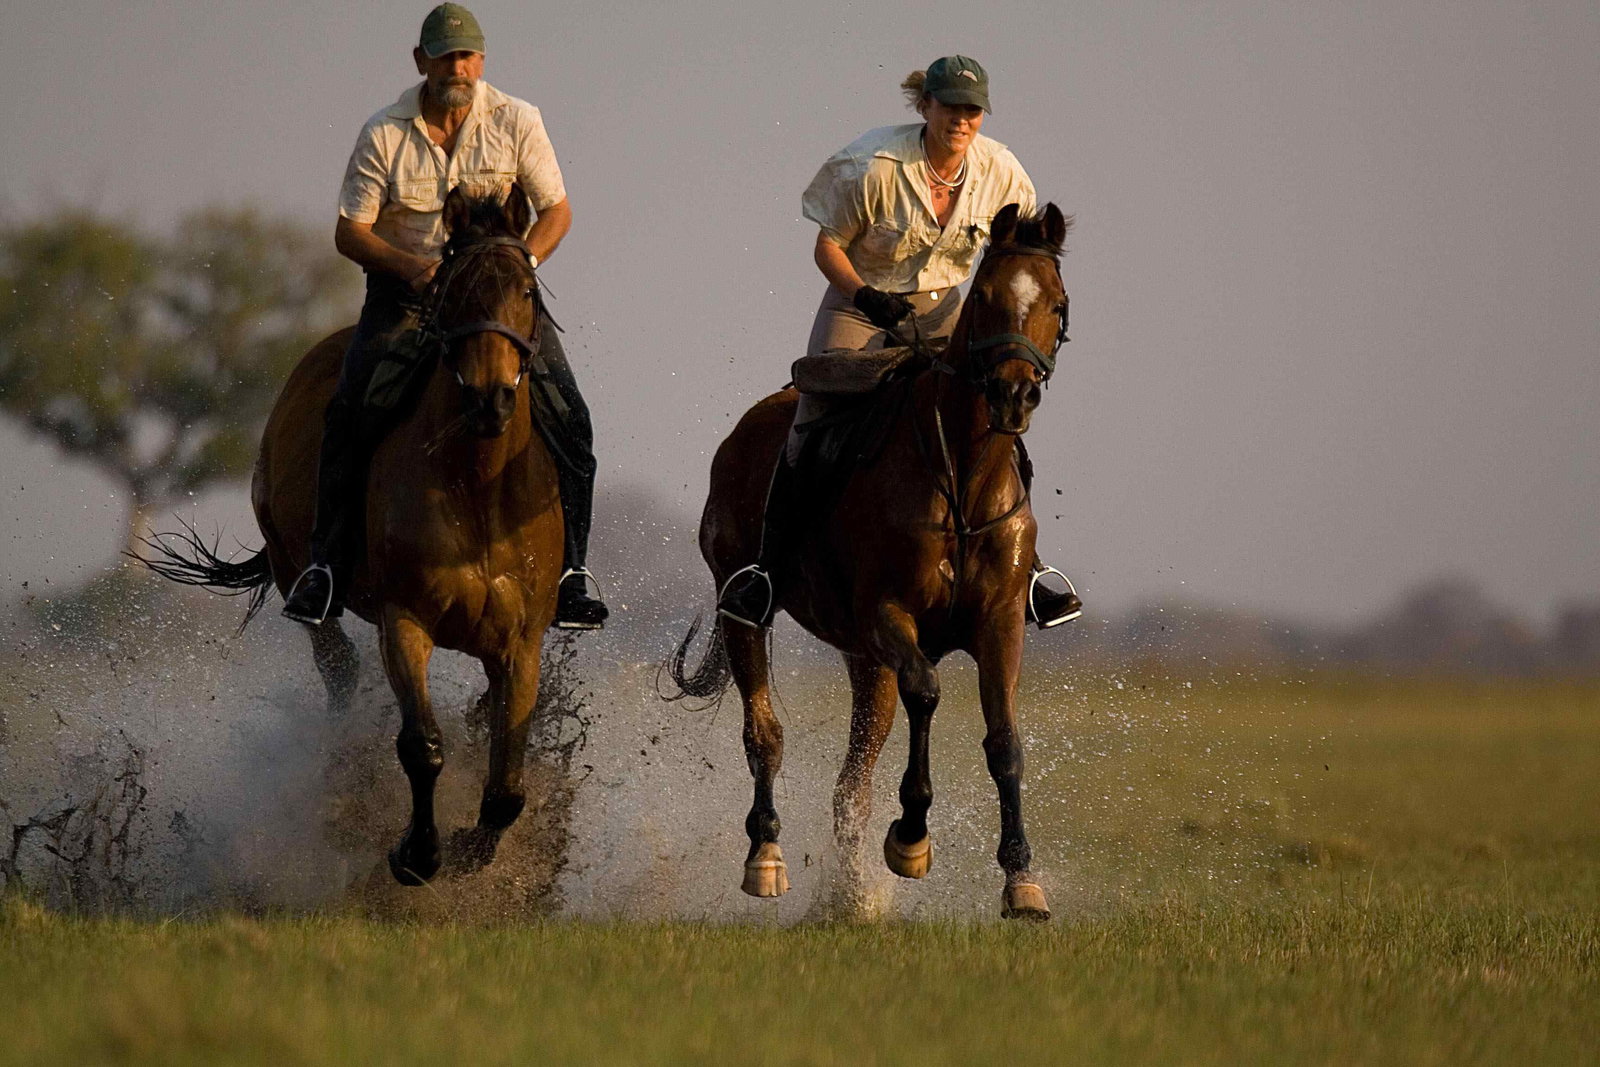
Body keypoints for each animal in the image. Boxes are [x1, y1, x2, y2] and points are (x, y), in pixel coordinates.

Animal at [142, 185, 565, 885]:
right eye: (453, 295)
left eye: (527, 293)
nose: (490, 401)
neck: (476, 490)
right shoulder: (405, 623)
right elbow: (422, 745)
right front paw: (416, 855)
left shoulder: (519, 642)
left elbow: (508, 780)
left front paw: (472, 849)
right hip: (299, 574)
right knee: (338, 669)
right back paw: (342, 765)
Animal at [670, 202, 1074, 919]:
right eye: (987, 298)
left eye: (1056, 304)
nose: (1013, 396)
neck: (962, 478)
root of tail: (744, 431)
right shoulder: (890, 613)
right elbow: (929, 691)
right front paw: (910, 836)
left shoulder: (999, 623)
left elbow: (1004, 740)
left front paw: (1021, 877)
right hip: (749, 614)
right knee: (765, 733)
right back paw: (766, 856)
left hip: (864, 660)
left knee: (848, 784)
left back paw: (851, 896)